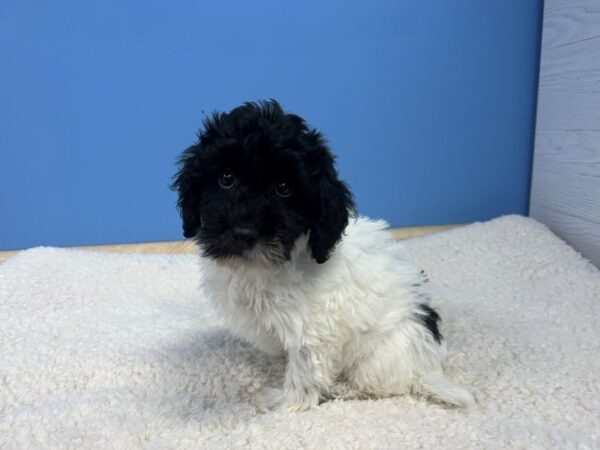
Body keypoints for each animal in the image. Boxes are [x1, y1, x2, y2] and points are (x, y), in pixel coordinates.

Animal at [170, 99, 474, 412]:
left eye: (284, 188)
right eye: (226, 178)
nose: (244, 232)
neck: (262, 268)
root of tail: (428, 367)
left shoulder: (312, 330)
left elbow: (304, 371)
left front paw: (286, 404)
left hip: (379, 356)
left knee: (376, 385)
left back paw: (342, 389)